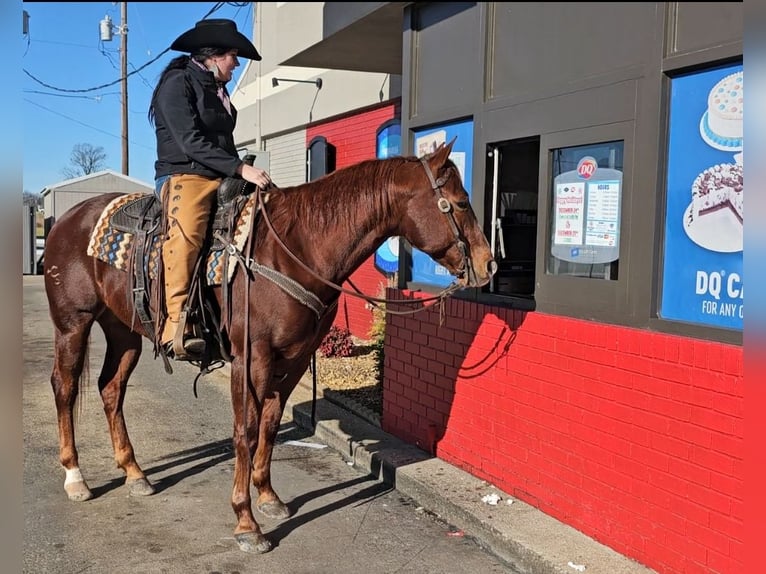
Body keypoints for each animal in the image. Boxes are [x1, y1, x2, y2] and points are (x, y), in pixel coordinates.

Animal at [43, 138, 498, 552]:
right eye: (459, 203)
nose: (488, 263)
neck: (298, 249)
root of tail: (66, 219)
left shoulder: (293, 358)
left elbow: (271, 424)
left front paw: (269, 498)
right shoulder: (252, 356)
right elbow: (244, 430)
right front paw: (246, 523)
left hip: (123, 331)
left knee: (111, 390)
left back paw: (135, 473)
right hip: (73, 324)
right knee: (64, 388)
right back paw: (75, 478)